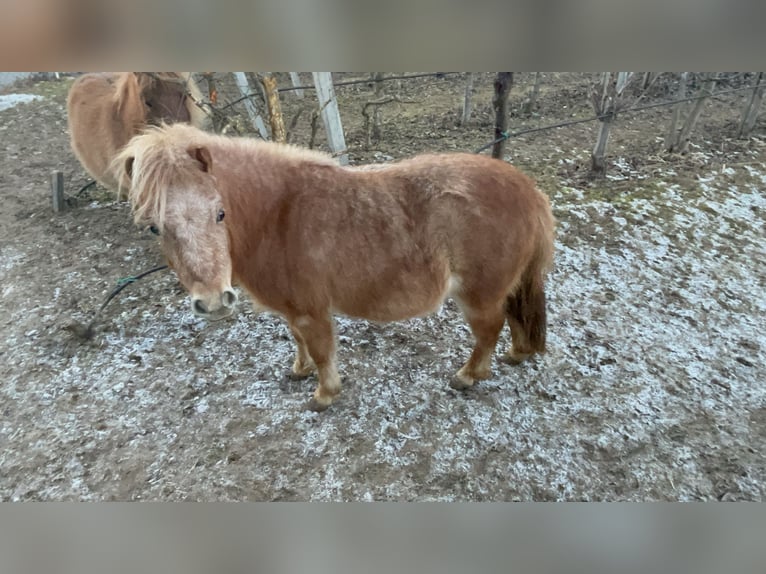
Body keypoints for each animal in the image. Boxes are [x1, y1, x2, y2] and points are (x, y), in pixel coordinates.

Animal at [115, 123, 555, 412]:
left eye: (219, 213)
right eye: (154, 227)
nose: (213, 303)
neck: (278, 215)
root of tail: (529, 190)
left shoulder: (313, 311)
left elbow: (322, 351)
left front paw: (324, 394)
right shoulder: (293, 309)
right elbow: (298, 341)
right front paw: (299, 371)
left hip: (478, 295)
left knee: (489, 330)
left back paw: (468, 375)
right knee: (512, 318)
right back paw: (516, 355)